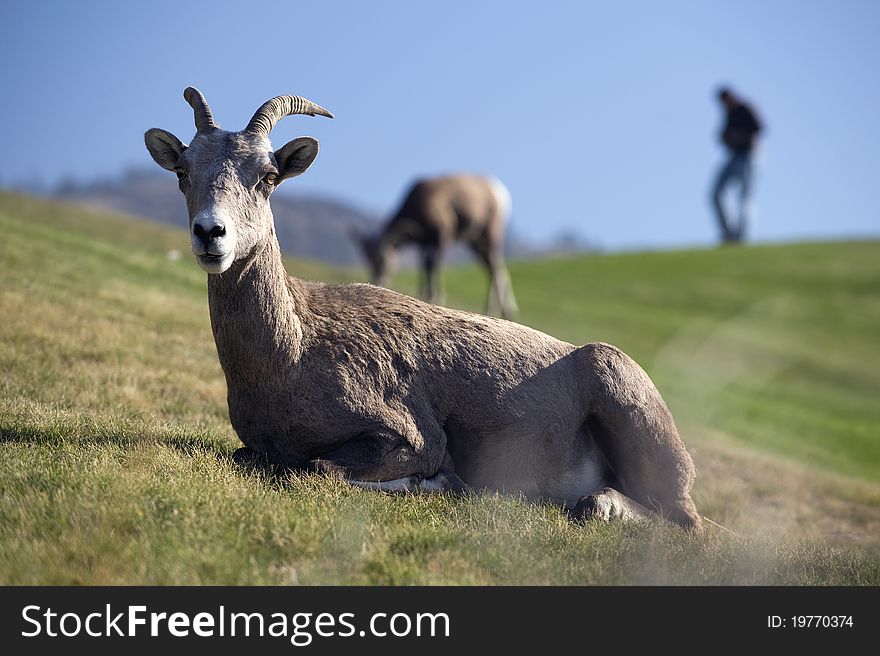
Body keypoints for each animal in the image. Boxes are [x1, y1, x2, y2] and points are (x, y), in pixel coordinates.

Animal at [352, 174, 520, 318]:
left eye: (385, 261)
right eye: (369, 262)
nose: (378, 280)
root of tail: (499, 191)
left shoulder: (441, 238)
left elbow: (434, 267)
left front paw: (436, 298)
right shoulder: (423, 244)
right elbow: (424, 268)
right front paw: (424, 296)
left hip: (490, 236)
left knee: (496, 269)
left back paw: (492, 310)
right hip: (475, 243)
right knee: (495, 269)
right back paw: (504, 312)